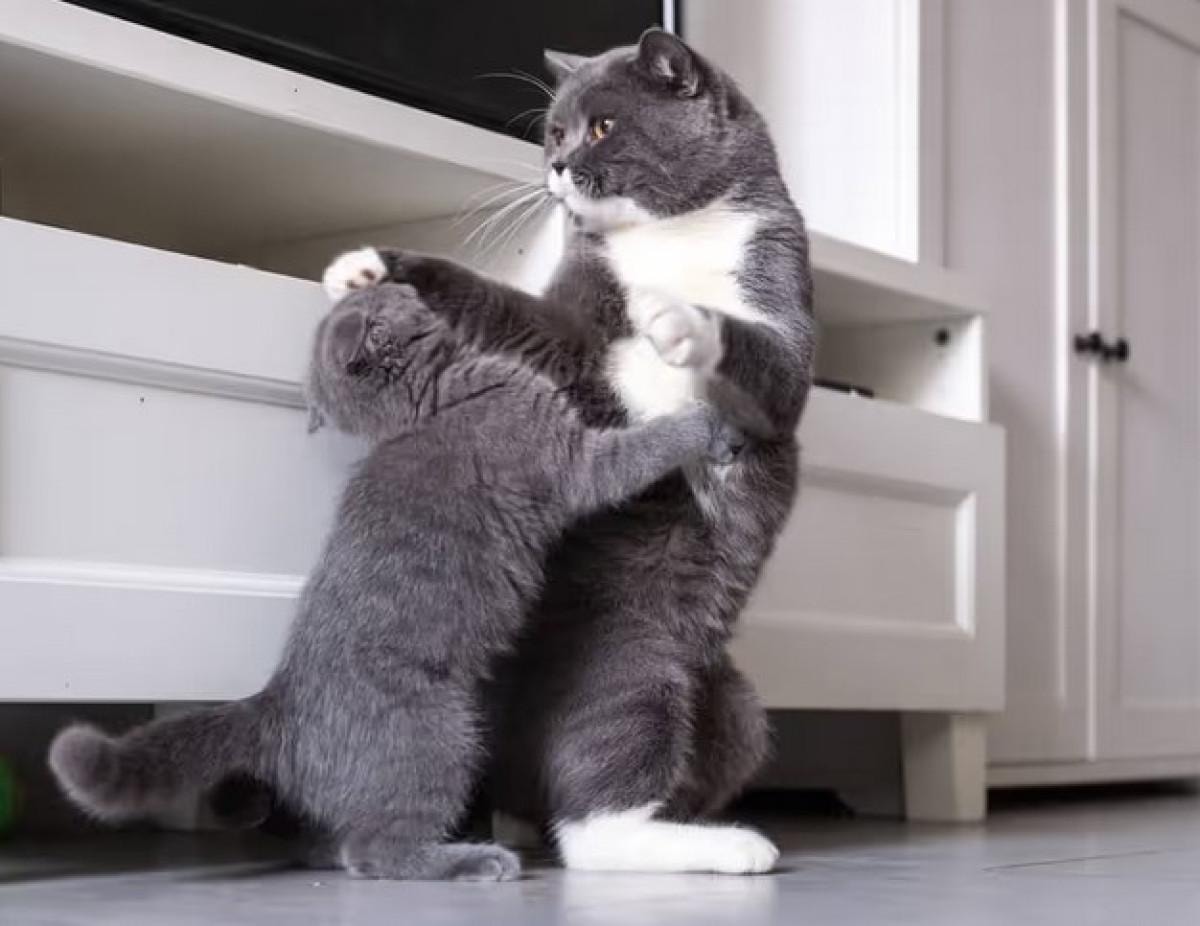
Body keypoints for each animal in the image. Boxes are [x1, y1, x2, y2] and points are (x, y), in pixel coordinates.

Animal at [47, 282, 737, 881]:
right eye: (379, 299)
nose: (387, 281)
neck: (436, 404)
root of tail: (275, 702)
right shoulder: (567, 458)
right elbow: (635, 452)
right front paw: (700, 423)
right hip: (440, 731)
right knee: (376, 849)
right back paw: (471, 860)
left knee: (342, 838)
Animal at [317, 29, 814, 875]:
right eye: (552, 131)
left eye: (603, 127)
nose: (553, 165)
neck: (668, 235)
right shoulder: (572, 329)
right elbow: (497, 305)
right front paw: (368, 266)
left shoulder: (782, 303)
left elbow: (757, 359)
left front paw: (681, 320)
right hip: (630, 661)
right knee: (589, 825)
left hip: (701, 687)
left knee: (595, 828)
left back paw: (715, 838)